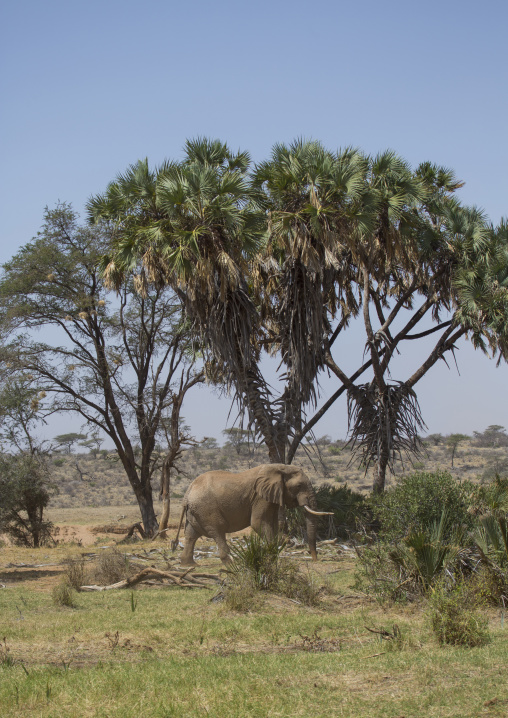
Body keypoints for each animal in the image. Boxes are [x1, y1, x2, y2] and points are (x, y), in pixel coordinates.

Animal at [173, 463, 332, 566]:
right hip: (206, 509)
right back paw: (231, 562)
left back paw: (189, 565)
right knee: (218, 531)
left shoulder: (270, 497)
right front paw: (271, 556)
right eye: (299, 486)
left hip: (195, 511)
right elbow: (258, 523)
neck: (280, 467)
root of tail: (187, 493)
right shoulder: (260, 497)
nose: (315, 560)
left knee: (191, 535)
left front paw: (272, 555)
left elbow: (272, 523)